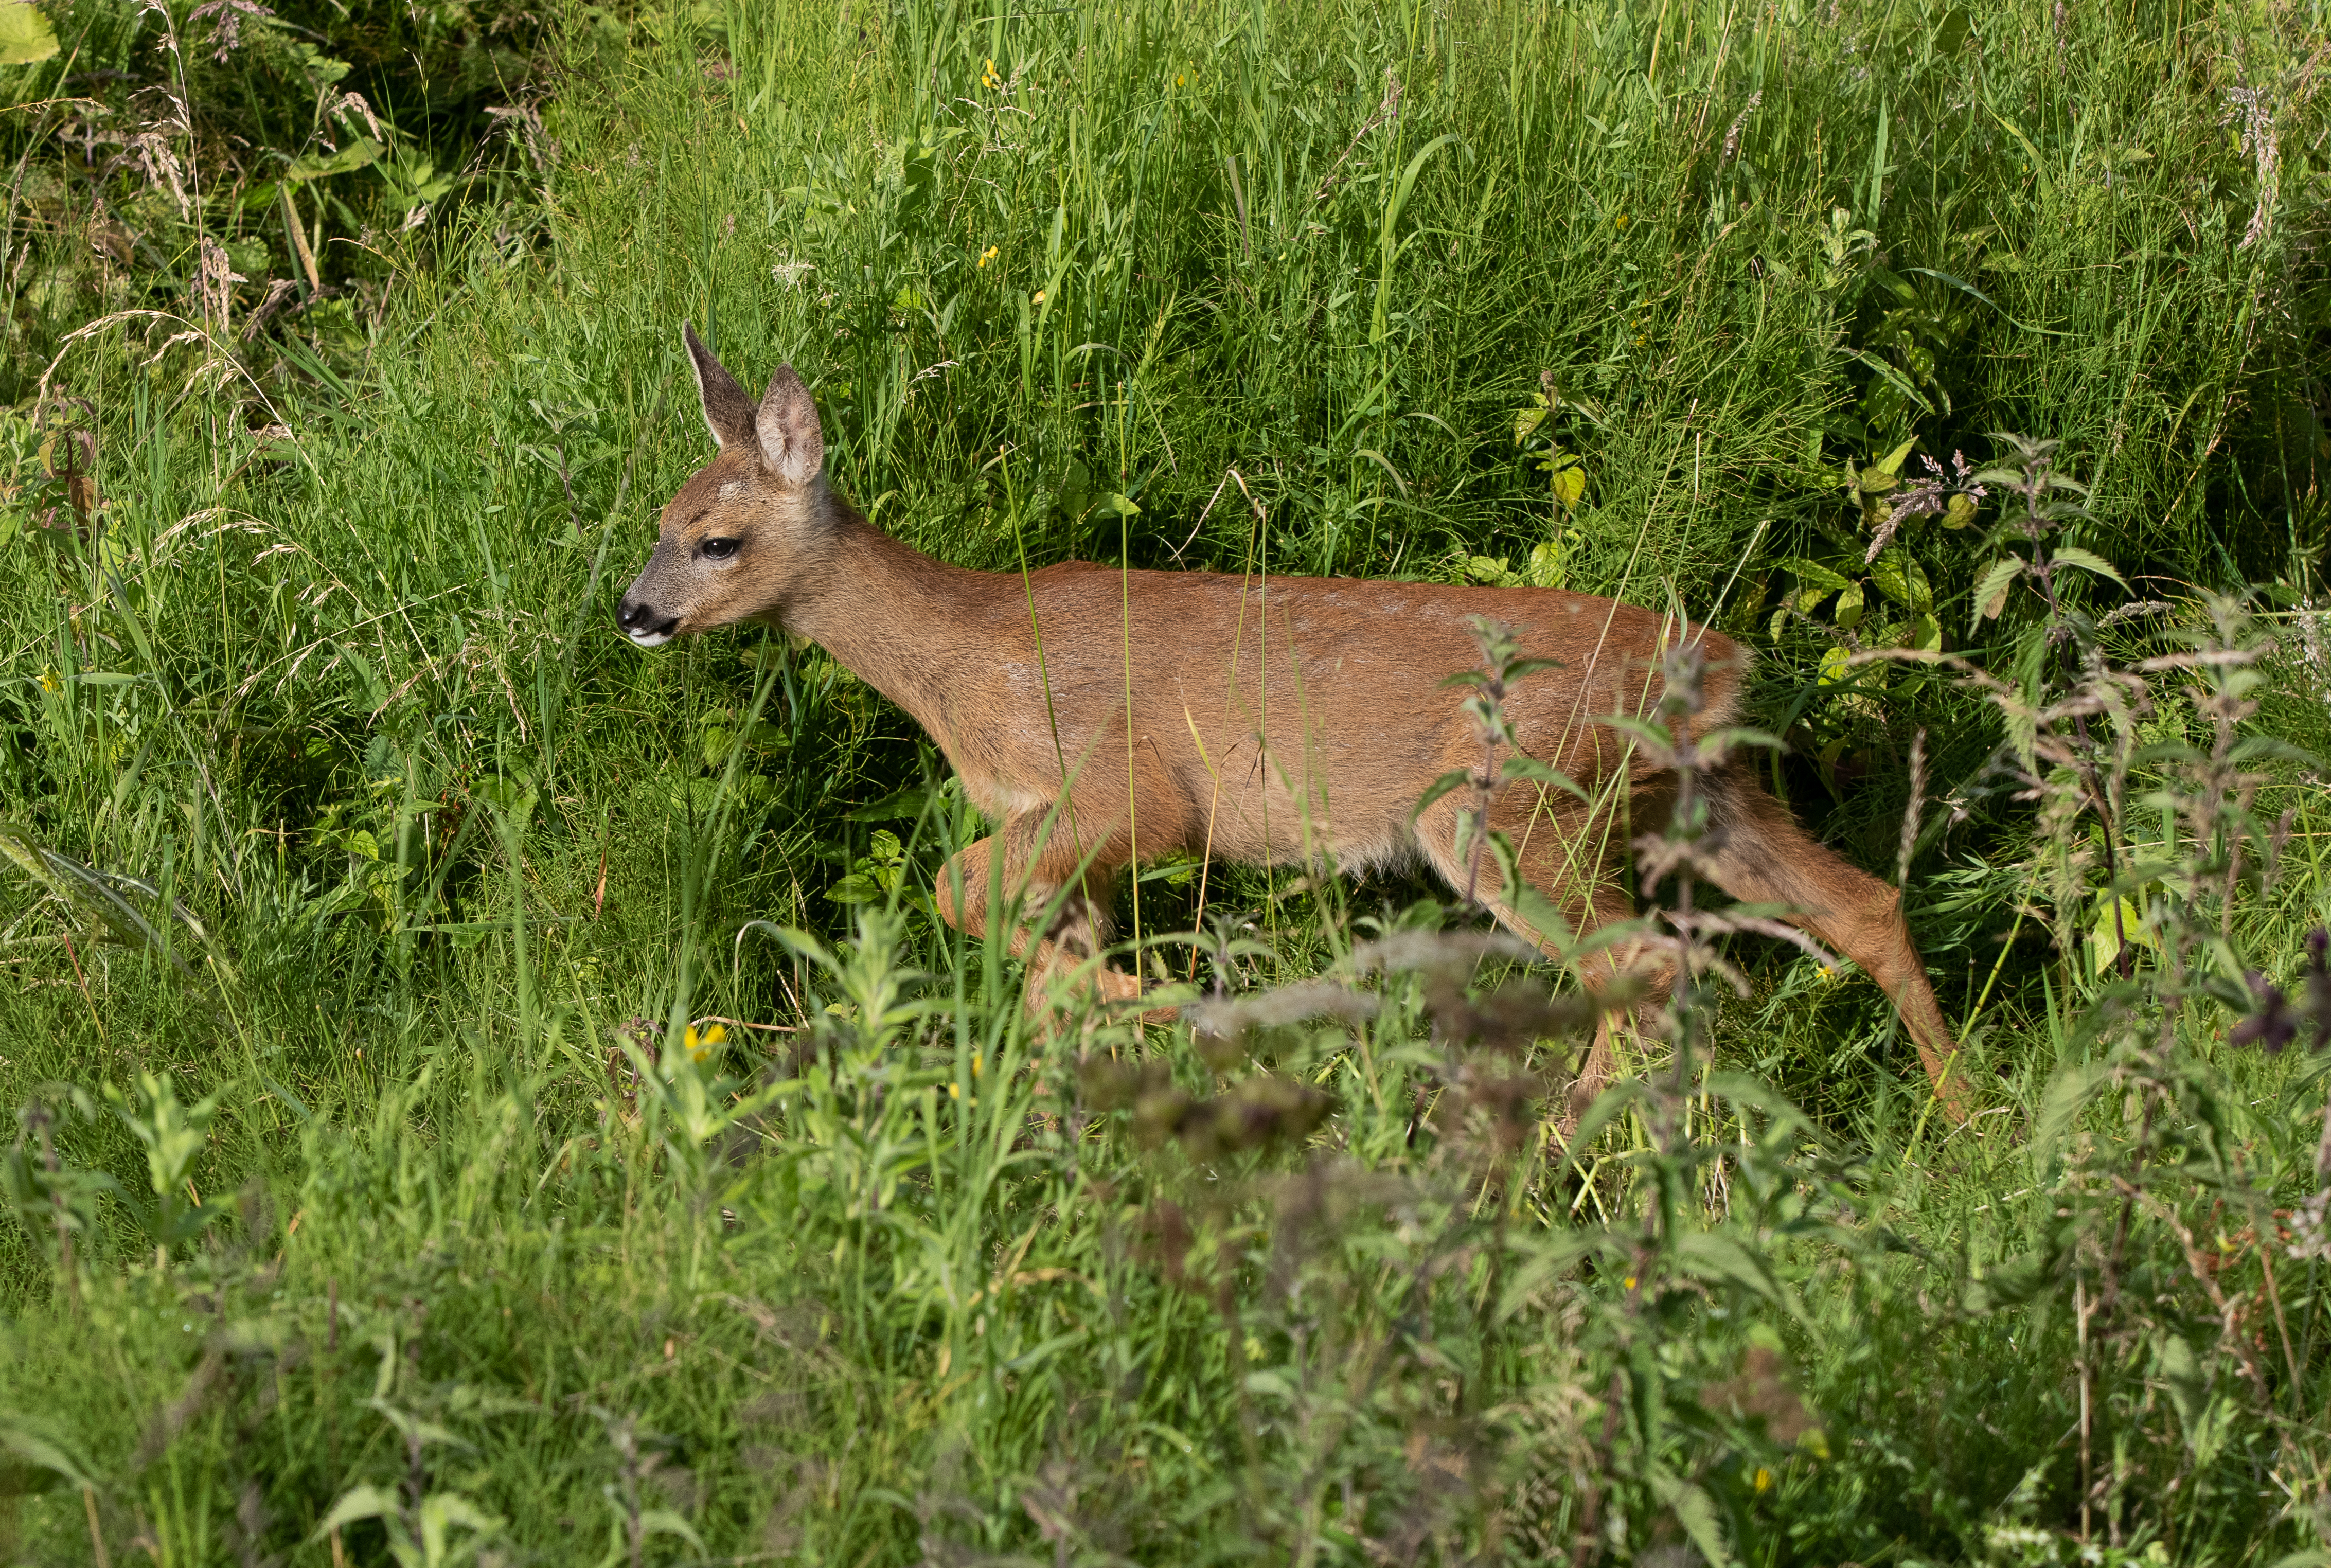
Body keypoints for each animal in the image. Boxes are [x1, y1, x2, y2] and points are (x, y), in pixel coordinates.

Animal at [617, 324, 1974, 1124]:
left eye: (716, 539)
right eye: (662, 518)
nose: (633, 612)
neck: (964, 661)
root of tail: (1720, 657)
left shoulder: (1126, 788)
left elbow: (961, 887)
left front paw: (1152, 1006)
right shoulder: (1075, 835)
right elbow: (1029, 941)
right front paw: (1105, 1046)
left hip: (1510, 808)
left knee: (1643, 964)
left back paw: (1555, 1160)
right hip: (1694, 794)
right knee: (1855, 905)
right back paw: (1965, 1116)